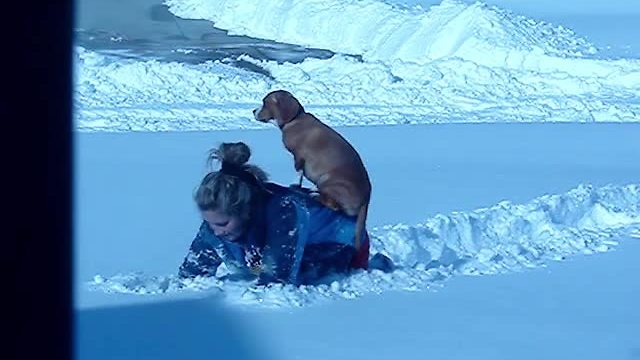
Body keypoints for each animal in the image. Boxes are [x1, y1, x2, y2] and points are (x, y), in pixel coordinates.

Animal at [251, 89, 370, 249]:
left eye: (265, 102)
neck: (295, 119)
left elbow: (298, 173)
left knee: (333, 206)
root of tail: (366, 199)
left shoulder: (299, 157)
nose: (253, 111)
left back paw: (315, 194)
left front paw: (295, 185)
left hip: (326, 179)